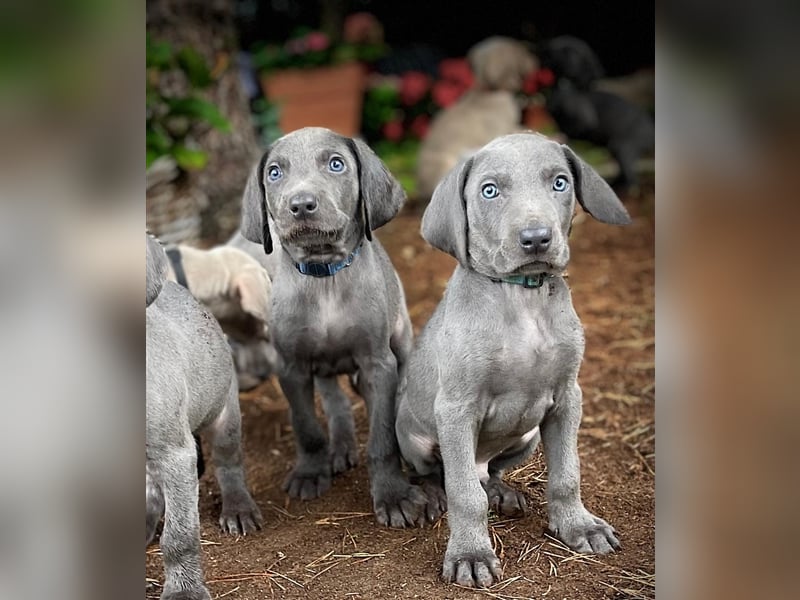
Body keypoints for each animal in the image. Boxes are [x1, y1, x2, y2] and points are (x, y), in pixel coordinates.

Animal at [145, 232, 264, 596]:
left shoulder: (175, 452)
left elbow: (179, 535)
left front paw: (184, 591)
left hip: (224, 416)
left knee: (228, 464)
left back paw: (238, 508)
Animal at [239, 126, 428, 524]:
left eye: (336, 164)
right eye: (274, 173)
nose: (300, 205)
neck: (324, 275)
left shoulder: (377, 363)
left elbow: (383, 437)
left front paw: (393, 495)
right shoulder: (292, 367)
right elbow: (307, 428)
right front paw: (311, 473)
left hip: (401, 339)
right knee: (336, 400)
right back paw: (339, 448)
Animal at [394, 131, 632, 584]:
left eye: (559, 182)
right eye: (489, 191)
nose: (536, 238)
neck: (523, 296)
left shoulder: (568, 398)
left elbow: (567, 474)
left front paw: (578, 526)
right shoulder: (456, 408)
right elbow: (464, 493)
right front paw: (470, 554)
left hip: (528, 435)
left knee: (488, 473)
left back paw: (501, 491)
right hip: (413, 435)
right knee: (444, 474)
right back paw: (433, 495)